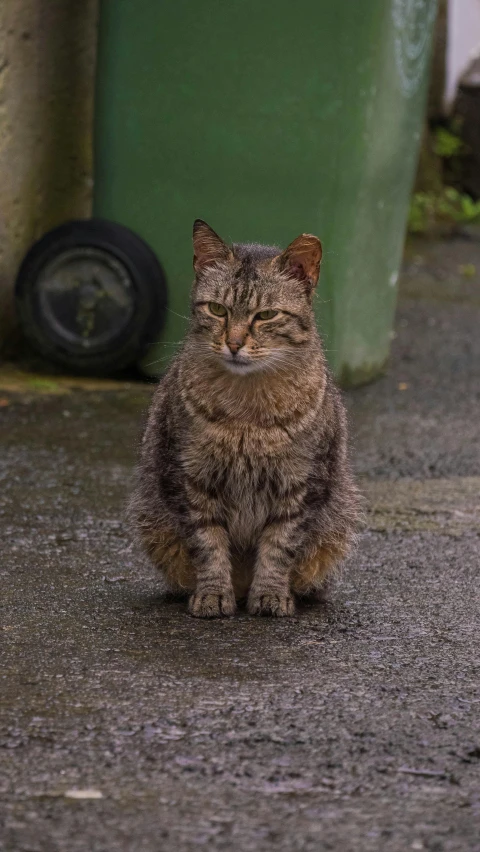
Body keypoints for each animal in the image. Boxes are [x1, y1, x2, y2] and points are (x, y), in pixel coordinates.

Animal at [129, 220, 362, 620]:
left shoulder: (301, 484)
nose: (234, 343)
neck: (245, 411)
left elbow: (279, 547)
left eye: (266, 315)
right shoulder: (190, 479)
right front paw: (212, 594)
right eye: (217, 309)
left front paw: (270, 595)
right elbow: (208, 545)